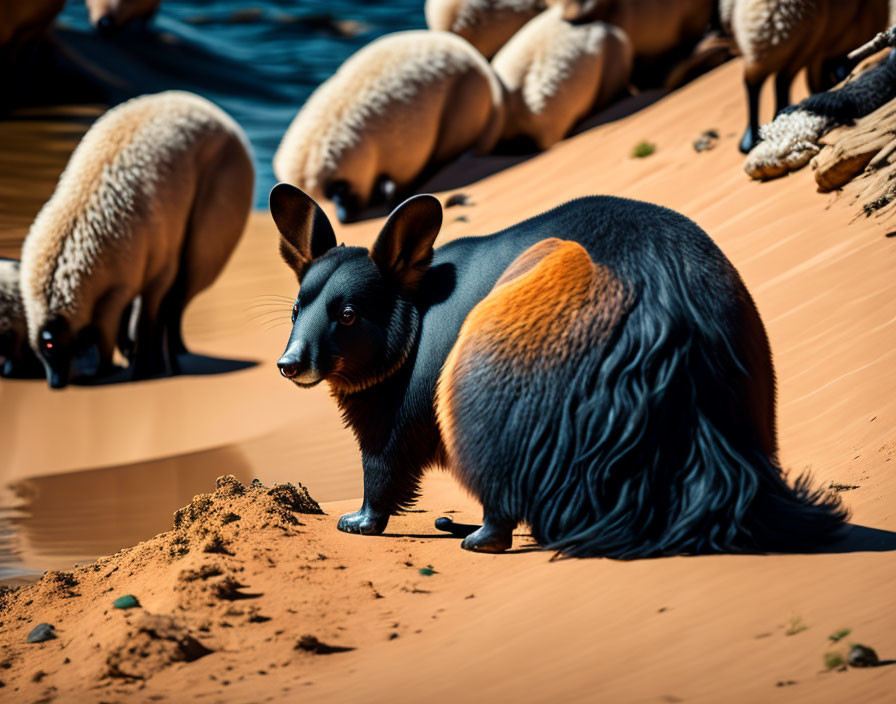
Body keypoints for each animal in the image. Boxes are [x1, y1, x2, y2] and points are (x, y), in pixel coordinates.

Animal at [18, 90, 256, 388]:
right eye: (40, 347)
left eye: (50, 345)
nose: (55, 383)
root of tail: (214, 109)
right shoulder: (129, 275)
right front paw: (133, 359)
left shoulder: (153, 269)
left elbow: (141, 318)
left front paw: (139, 366)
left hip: (211, 232)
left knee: (179, 299)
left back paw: (173, 353)